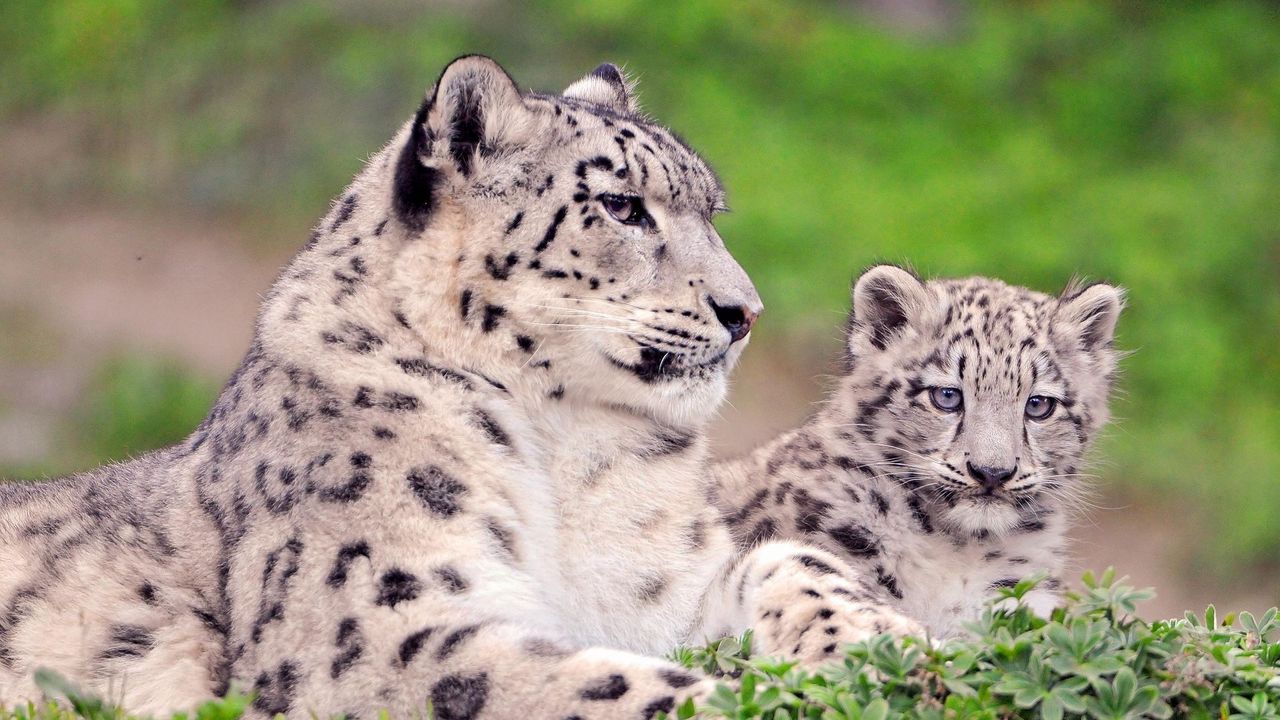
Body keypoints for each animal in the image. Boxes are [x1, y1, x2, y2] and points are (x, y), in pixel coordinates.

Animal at [0, 60, 921, 717]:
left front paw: (888, 641)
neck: (572, 455)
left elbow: (792, 560)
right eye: (622, 205)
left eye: (711, 212)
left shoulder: (661, 588)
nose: (745, 312)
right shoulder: (378, 622)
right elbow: (587, 684)